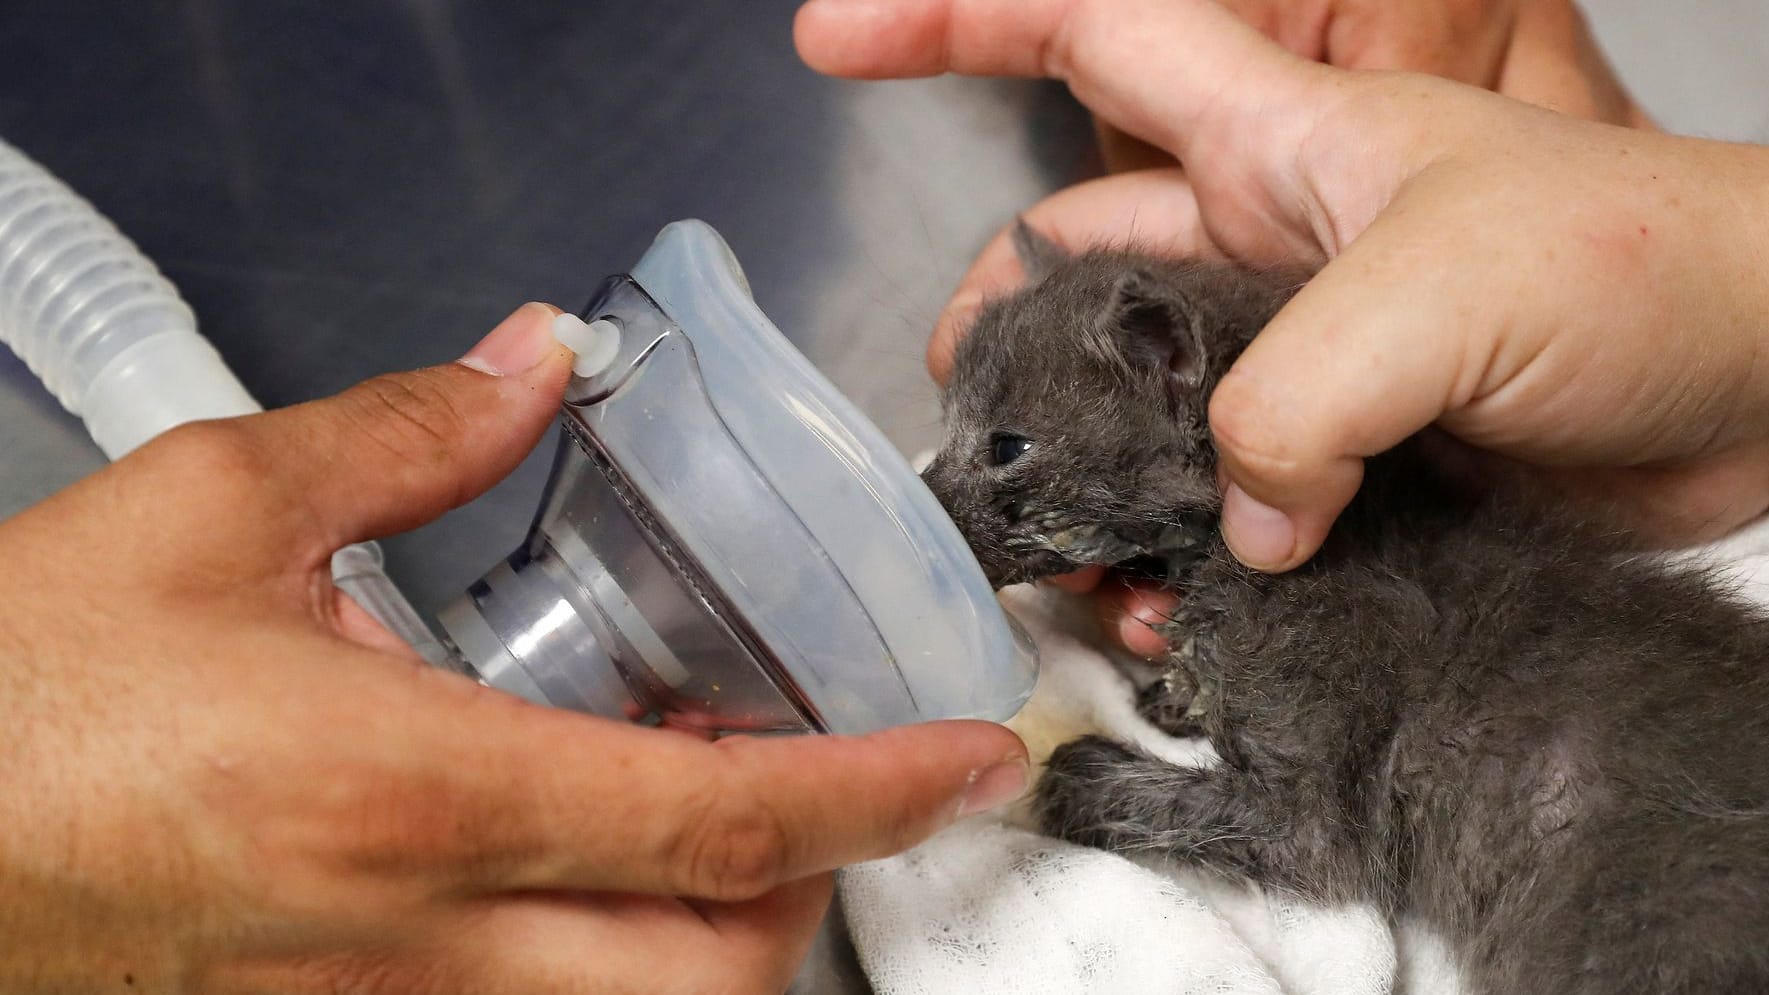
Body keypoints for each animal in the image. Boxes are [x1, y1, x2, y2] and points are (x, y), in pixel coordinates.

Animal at [919, 224, 1769, 991]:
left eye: (1005, 447)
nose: (920, 498)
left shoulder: (1308, 819)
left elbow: (1228, 813)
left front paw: (1071, 774)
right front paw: (1172, 692)